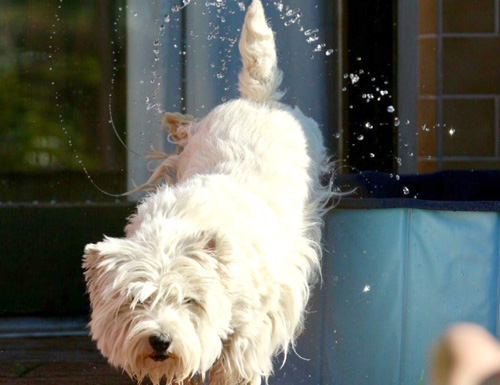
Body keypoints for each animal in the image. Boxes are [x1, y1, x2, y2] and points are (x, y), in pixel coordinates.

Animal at [82, 1, 332, 382]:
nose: (160, 340)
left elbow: (235, 364)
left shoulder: (251, 326)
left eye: (189, 300)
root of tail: (259, 100)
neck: (175, 232)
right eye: (137, 300)